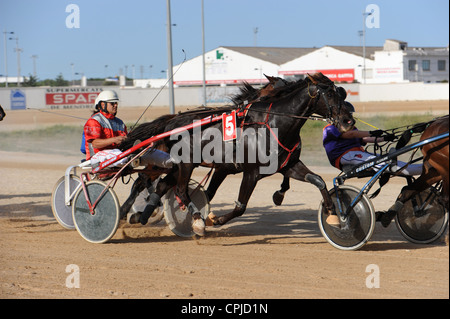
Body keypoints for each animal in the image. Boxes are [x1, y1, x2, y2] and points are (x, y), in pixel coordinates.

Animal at [119, 74, 356, 234]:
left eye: (340, 92)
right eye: (329, 94)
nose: (348, 121)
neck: (274, 123)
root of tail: (171, 121)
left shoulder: (288, 165)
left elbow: (318, 180)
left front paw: (333, 213)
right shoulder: (249, 172)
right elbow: (239, 206)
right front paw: (213, 219)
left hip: (178, 165)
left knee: (163, 186)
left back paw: (142, 216)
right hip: (184, 164)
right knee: (176, 189)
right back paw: (194, 220)